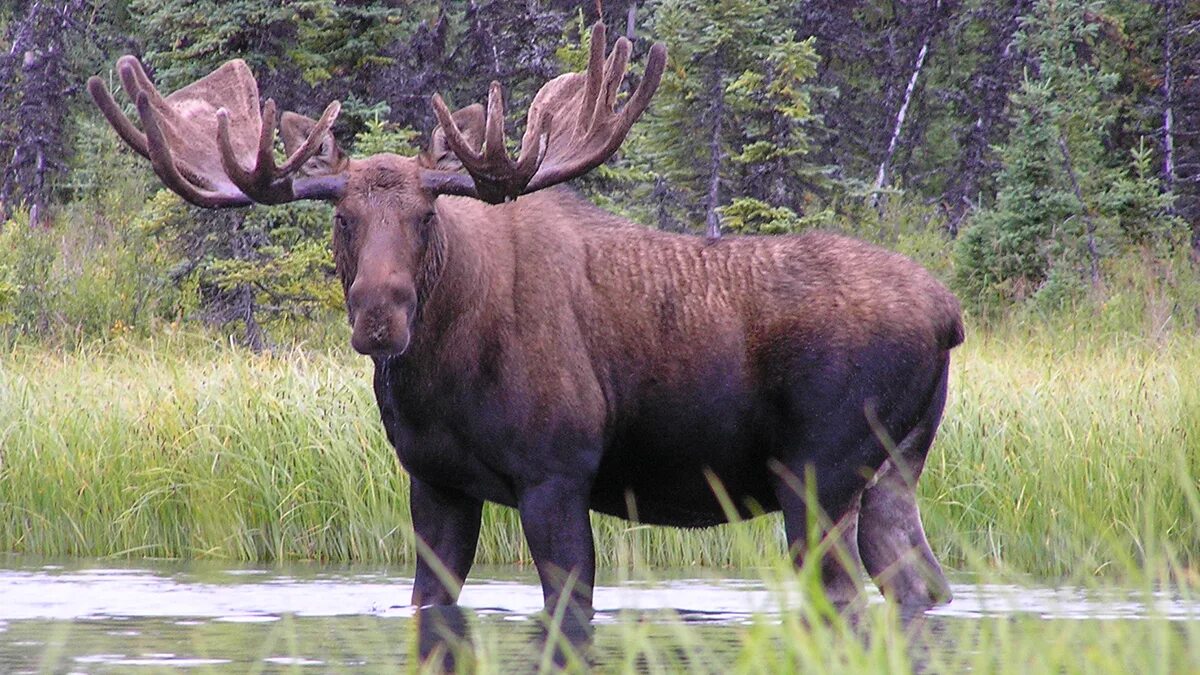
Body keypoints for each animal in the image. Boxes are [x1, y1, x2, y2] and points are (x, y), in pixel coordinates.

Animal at [87, 22, 964, 634]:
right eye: (340, 218)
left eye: (426, 215)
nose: (379, 316)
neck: (441, 378)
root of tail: (948, 314)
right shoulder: (435, 481)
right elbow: (430, 603)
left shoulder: (556, 472)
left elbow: (567, 606)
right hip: (894, 469)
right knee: (920, 585)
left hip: (818, 470)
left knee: (845, 597)